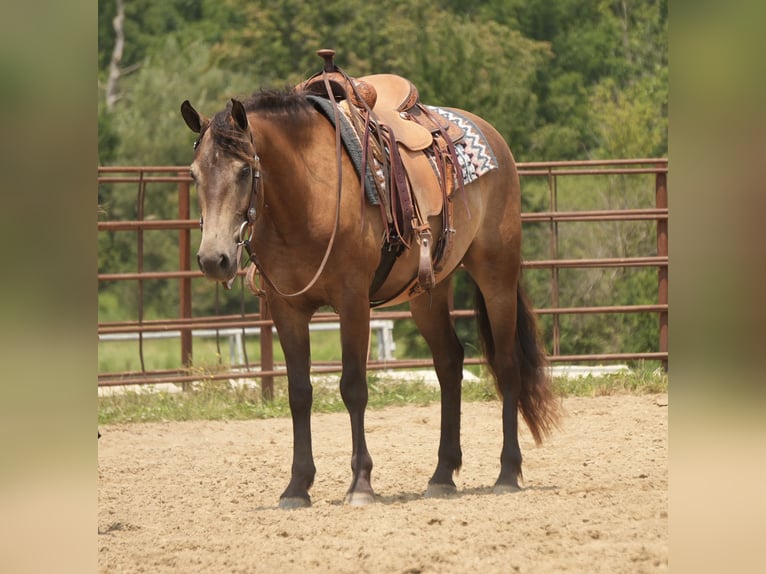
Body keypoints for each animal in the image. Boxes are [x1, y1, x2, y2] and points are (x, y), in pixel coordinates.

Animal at [180, 65, 560, 508]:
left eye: (244, 171)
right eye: (194, 174)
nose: (214, 259)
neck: (307, 195)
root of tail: (492, 135)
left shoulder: (353, 302)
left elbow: (353, 387)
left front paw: (360, 483)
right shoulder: (286, 309)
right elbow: (299, 392)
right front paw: (297, 486)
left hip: (496, 273)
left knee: (507, 363)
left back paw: (507, 472)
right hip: (429, 292)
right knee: (449, 363)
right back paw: (442, 475)